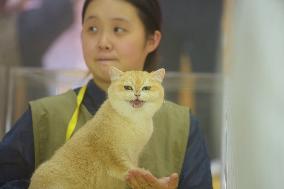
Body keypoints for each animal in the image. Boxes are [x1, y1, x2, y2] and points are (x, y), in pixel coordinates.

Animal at [28, 67, 166, 189]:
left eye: (146, 88)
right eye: (128, 87)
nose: (137, 94)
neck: (133, 120)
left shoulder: (134, 153)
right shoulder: (111, 151)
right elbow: (125, 166)